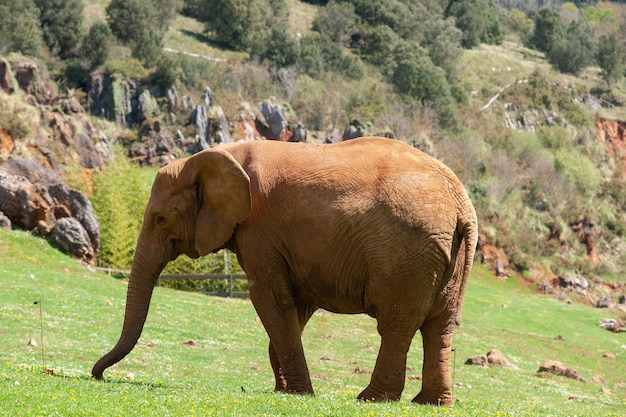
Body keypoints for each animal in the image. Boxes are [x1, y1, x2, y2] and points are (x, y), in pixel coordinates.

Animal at [90, 136, 476, 404]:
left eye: (160, 219)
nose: (98, 376)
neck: (220, 154)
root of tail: (461, 203)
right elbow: (294, 306)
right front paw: (282, 389)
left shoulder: (258, 229)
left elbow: (269, 298)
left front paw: (296, 394)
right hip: (446, 257)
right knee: (440, 327)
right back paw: (431, 403)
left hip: (406, 253)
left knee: (396, 325)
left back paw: (371, 399)